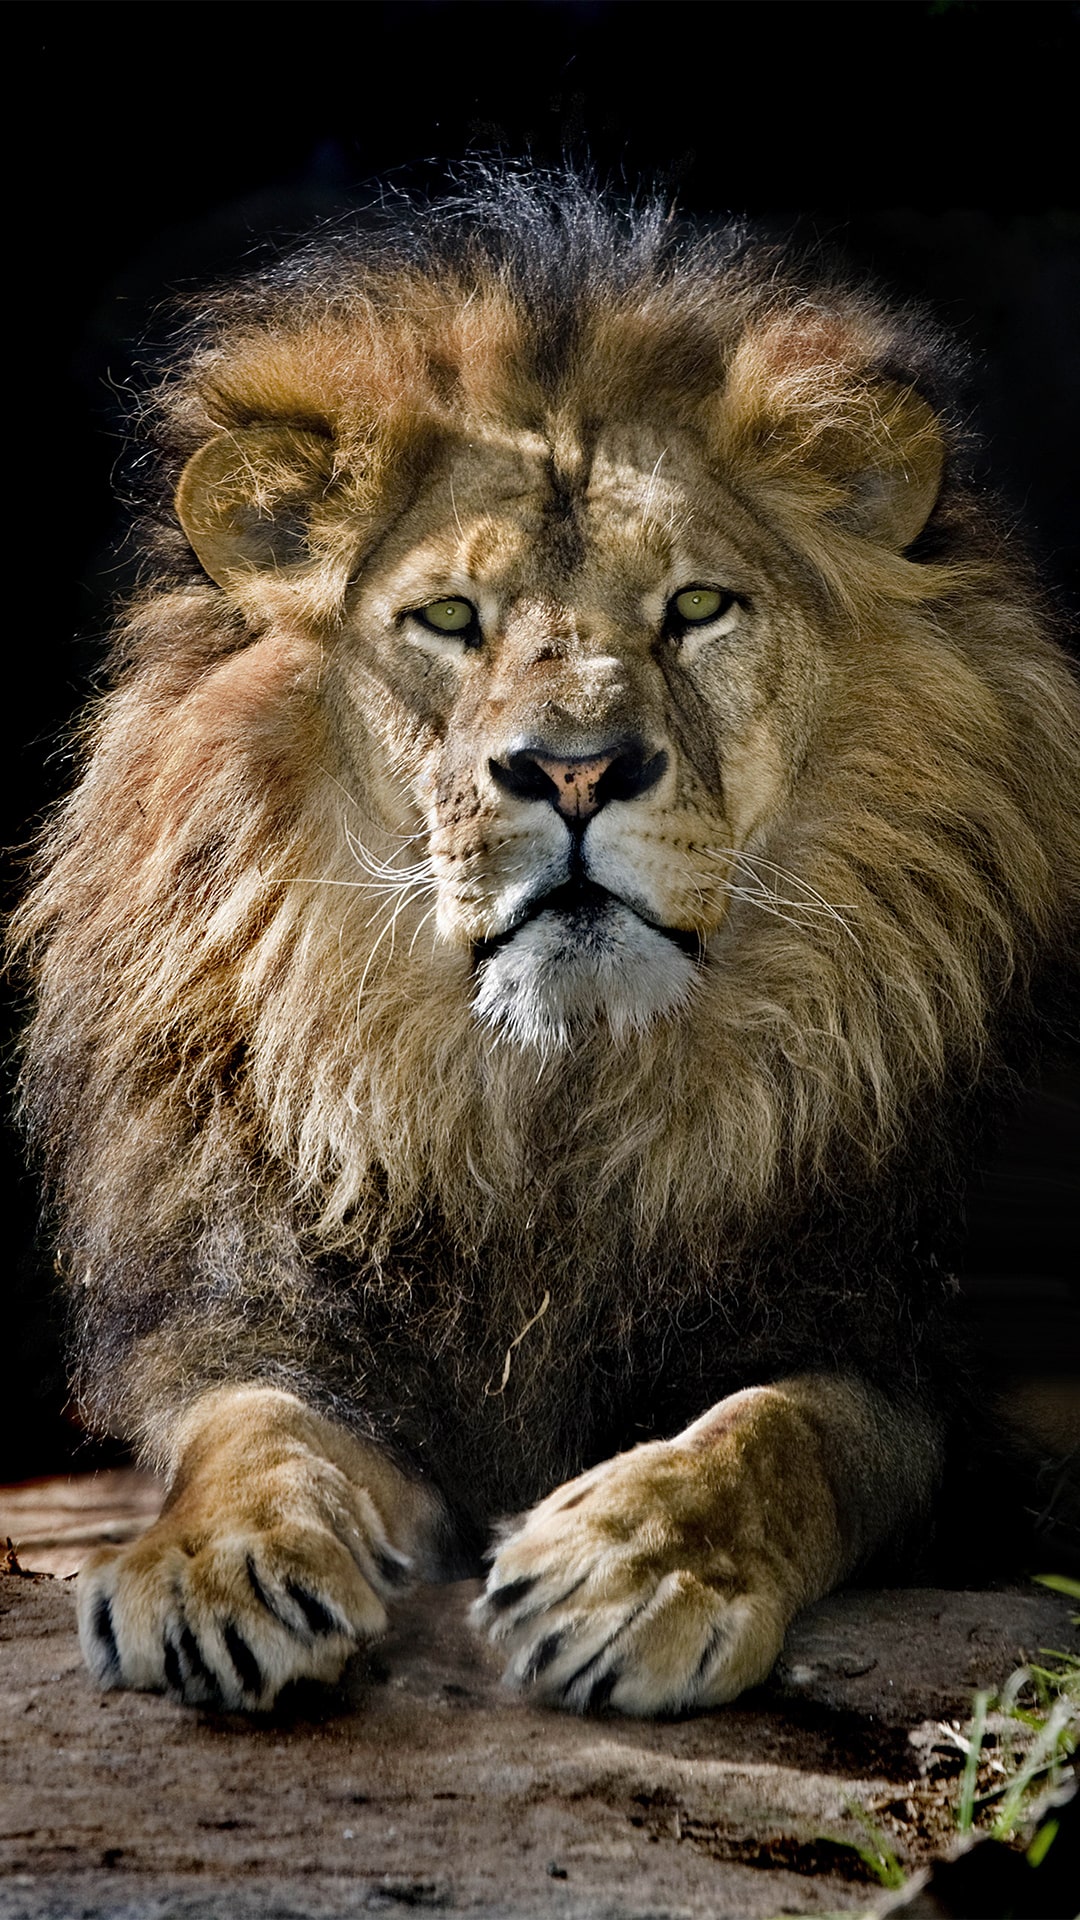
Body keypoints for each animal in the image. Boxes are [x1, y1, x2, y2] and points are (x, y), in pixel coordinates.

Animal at [14, 171, 1080, 1718]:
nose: (574, 771)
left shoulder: (901, 1345)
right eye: (451, 619)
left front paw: (632, 1568)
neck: (551, 1101)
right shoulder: (268, 1311)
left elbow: (780, 1430)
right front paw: (220, 1563)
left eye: (695, 607)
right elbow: (256, 1427)